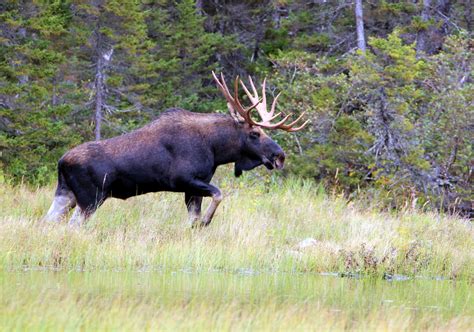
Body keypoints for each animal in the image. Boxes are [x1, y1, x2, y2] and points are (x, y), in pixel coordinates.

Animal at [45, 72, 308, 227]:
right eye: (255, 134)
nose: (280, 156)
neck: (216, 149)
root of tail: (61, 162)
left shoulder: (192, 188)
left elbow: (195, 216)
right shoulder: (184, 180)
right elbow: (219, 195)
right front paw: (206, 221)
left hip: (66, 195)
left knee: (48, 222)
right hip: (91, 198)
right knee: (73, 226)